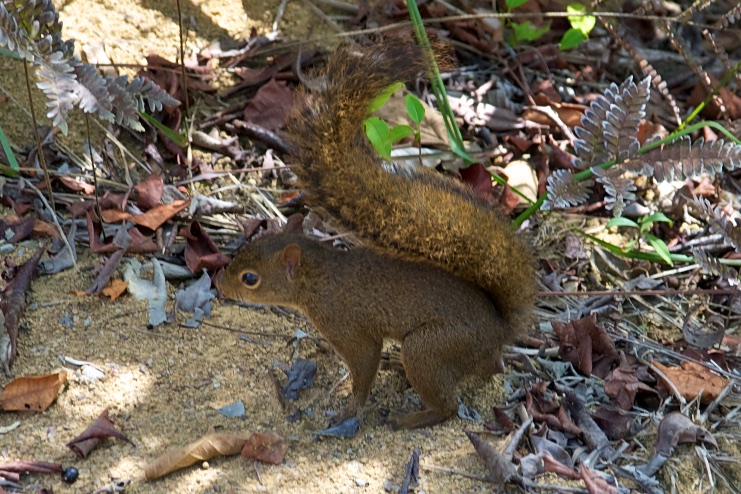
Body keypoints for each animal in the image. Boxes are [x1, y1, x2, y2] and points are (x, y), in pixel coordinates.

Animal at [217, 30, 536, 430]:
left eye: (250, 279)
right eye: (243, 249)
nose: (219, 284)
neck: (321, 278)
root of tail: (498, 328)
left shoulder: (348, 327)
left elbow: (364, 364)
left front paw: (350, 408)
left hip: (429, 349)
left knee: (447, 406)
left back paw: (408, 418)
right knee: (490, 368)